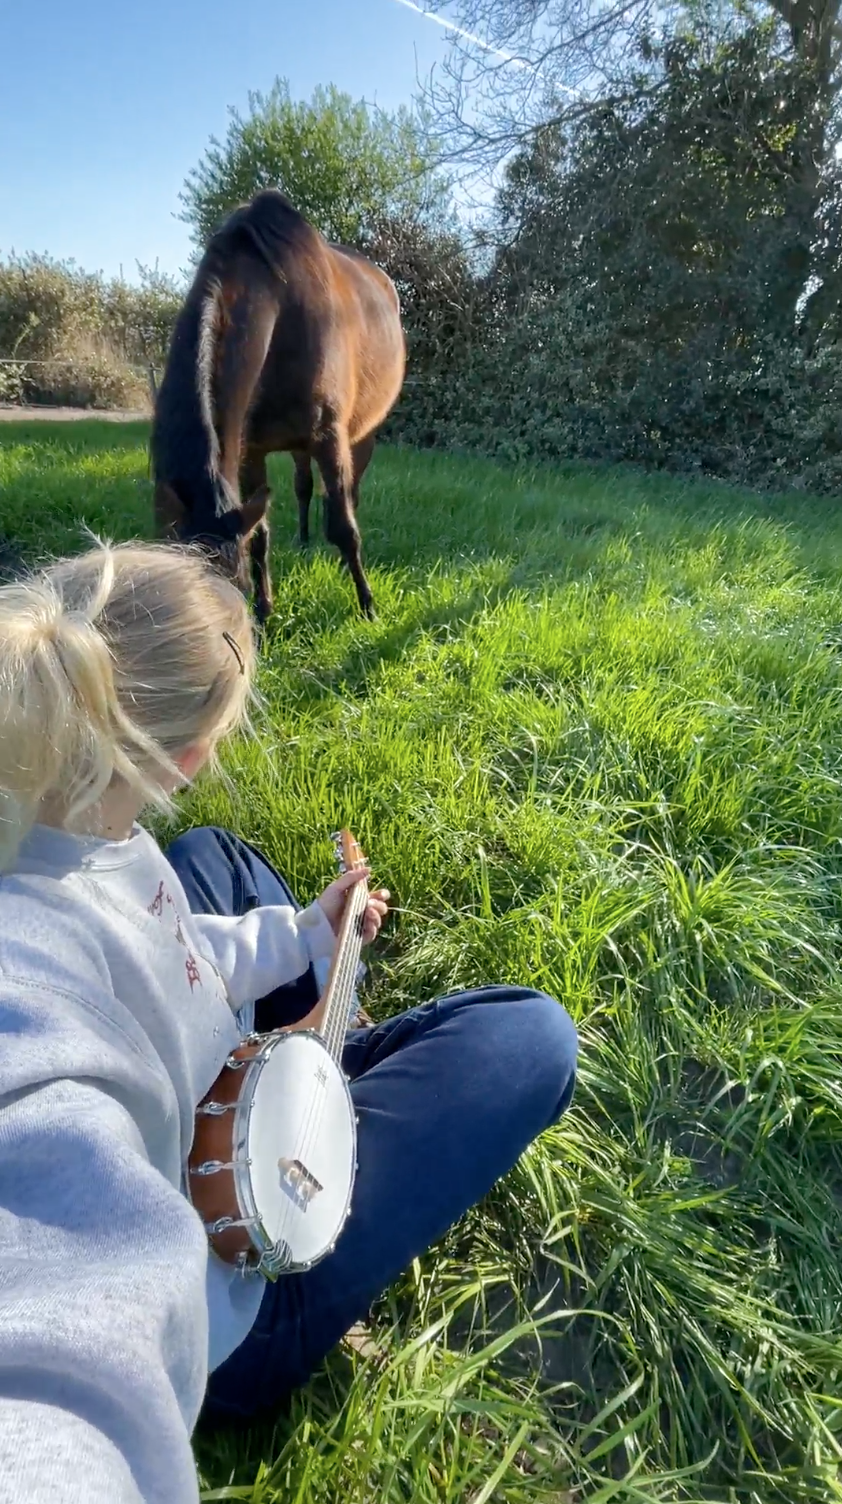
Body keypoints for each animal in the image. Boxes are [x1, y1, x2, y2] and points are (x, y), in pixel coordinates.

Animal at [150, 190, 406, 623]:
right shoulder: (251, 450)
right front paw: (266, 611)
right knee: (304, 487)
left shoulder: (330, 439)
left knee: (349, 495)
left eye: (236, 586)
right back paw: (303, 542)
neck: (285, 313)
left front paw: (368, 606)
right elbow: (260, 535)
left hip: (362, 434)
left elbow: (344, 527)